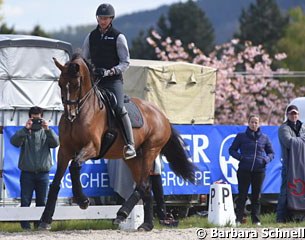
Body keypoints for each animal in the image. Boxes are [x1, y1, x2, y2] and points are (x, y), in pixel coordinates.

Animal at [38, 54, 195, 231]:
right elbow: (55, 183)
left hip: (151, 150)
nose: (70, 115)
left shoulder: (92, 147)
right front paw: (45, 219)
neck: (84, 110)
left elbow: (75, 165)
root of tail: (162, 115)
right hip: (134, 158)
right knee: (146, 187)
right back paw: (146, 224)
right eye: (60, 84)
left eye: (76, 85)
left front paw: (82, 200)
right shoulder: (65, 150)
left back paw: (122, 214)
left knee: (142, 185)